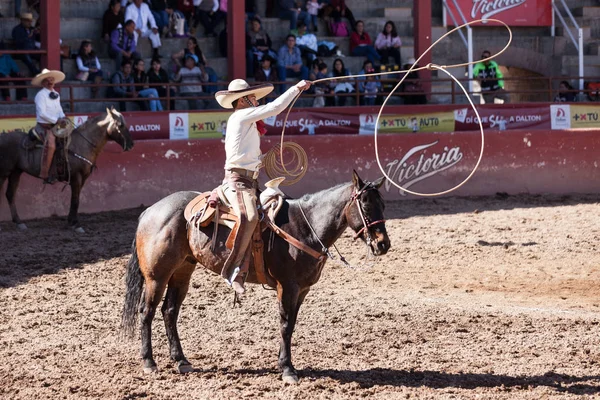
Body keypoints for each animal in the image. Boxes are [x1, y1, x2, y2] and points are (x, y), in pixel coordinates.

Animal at [0, 107, 134, 231]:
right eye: (120, 125)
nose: (131, 144)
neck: (82, 143)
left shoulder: (83, 178)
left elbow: (76, 199)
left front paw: (71, 222)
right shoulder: (76, 177)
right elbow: (75, 200)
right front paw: (75, 224)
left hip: (15, 172)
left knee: (10, 194)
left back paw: (19, 222)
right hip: (4, 173)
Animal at [121, 171, 392, 384]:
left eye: (383, 205)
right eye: (365, 205)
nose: (383, 244)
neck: (305, 227)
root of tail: (150, 211)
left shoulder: (302, 290)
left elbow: (291, 325)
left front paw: (285, 364)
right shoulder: (288, 286)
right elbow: (285, 325)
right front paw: (287, 369)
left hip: (182, 271)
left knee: (169, 311)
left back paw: (181, 360)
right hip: (157, 276)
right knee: (146, 312)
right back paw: (149, 362)